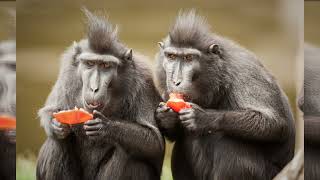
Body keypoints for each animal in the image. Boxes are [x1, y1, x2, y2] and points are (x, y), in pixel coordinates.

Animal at [155, 10, 296, 179]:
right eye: (171, 57)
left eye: (188, 58)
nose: (176, 81)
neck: (219, 76)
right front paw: (166, 117)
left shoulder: (245, 72)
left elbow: (276, 123)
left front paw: (203, 118)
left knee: (227, 142)